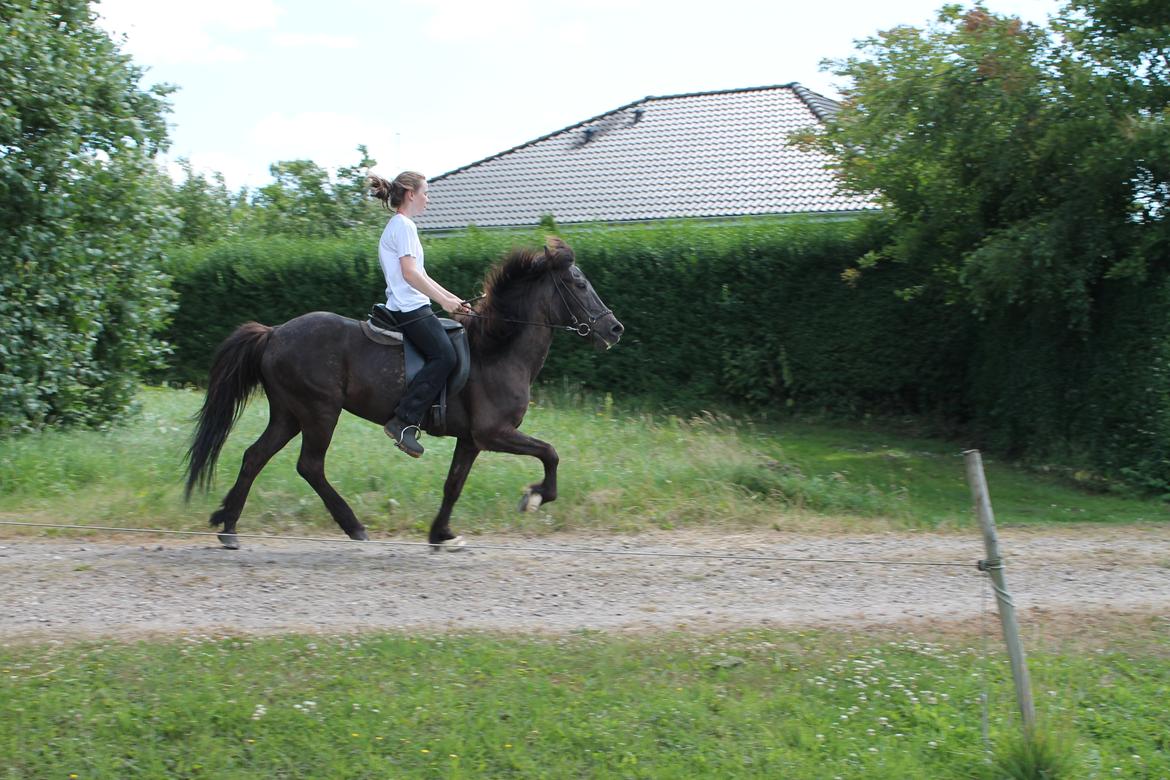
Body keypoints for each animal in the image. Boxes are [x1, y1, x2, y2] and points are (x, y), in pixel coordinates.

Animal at [182, 238, 622, 549]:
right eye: (579, 283)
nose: (614, 329)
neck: (497, 349)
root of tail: (273, 333)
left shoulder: (470, 440)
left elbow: (453, 484)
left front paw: (441, 534)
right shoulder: (494, 433)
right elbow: (550, 452)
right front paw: (535, 497)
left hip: (289, 413)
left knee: (255, 456)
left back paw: (228, 523)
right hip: (319, 411)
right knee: (309, 466)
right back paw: (353, 526)